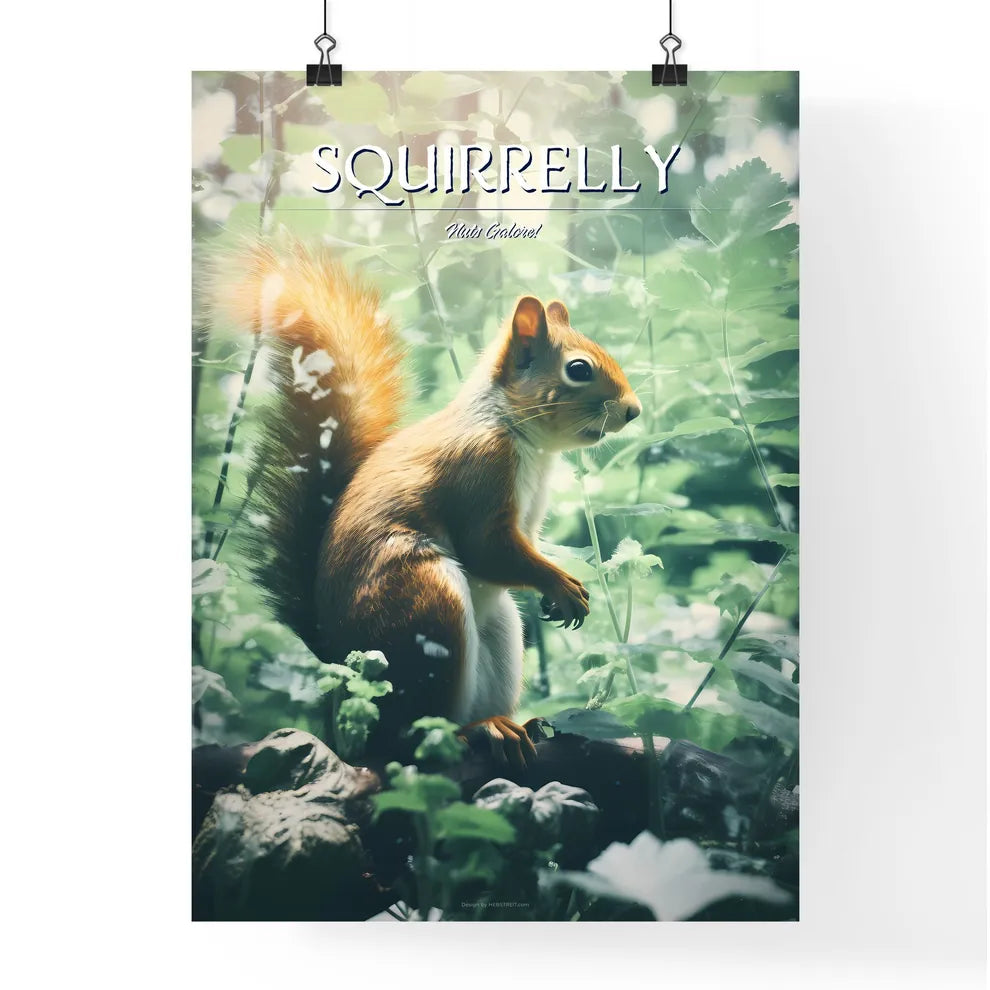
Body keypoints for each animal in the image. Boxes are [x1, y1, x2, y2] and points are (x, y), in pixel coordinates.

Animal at [220, 239, 641, 768]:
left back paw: (512, 725)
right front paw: (561, 584)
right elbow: (487, 547)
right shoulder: (478, 471)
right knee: (410, 737)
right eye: (579, 369)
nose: (633, 410)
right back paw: (473, 732)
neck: (514, 429)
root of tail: (340, 663)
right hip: (423, 604)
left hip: (499, 629)